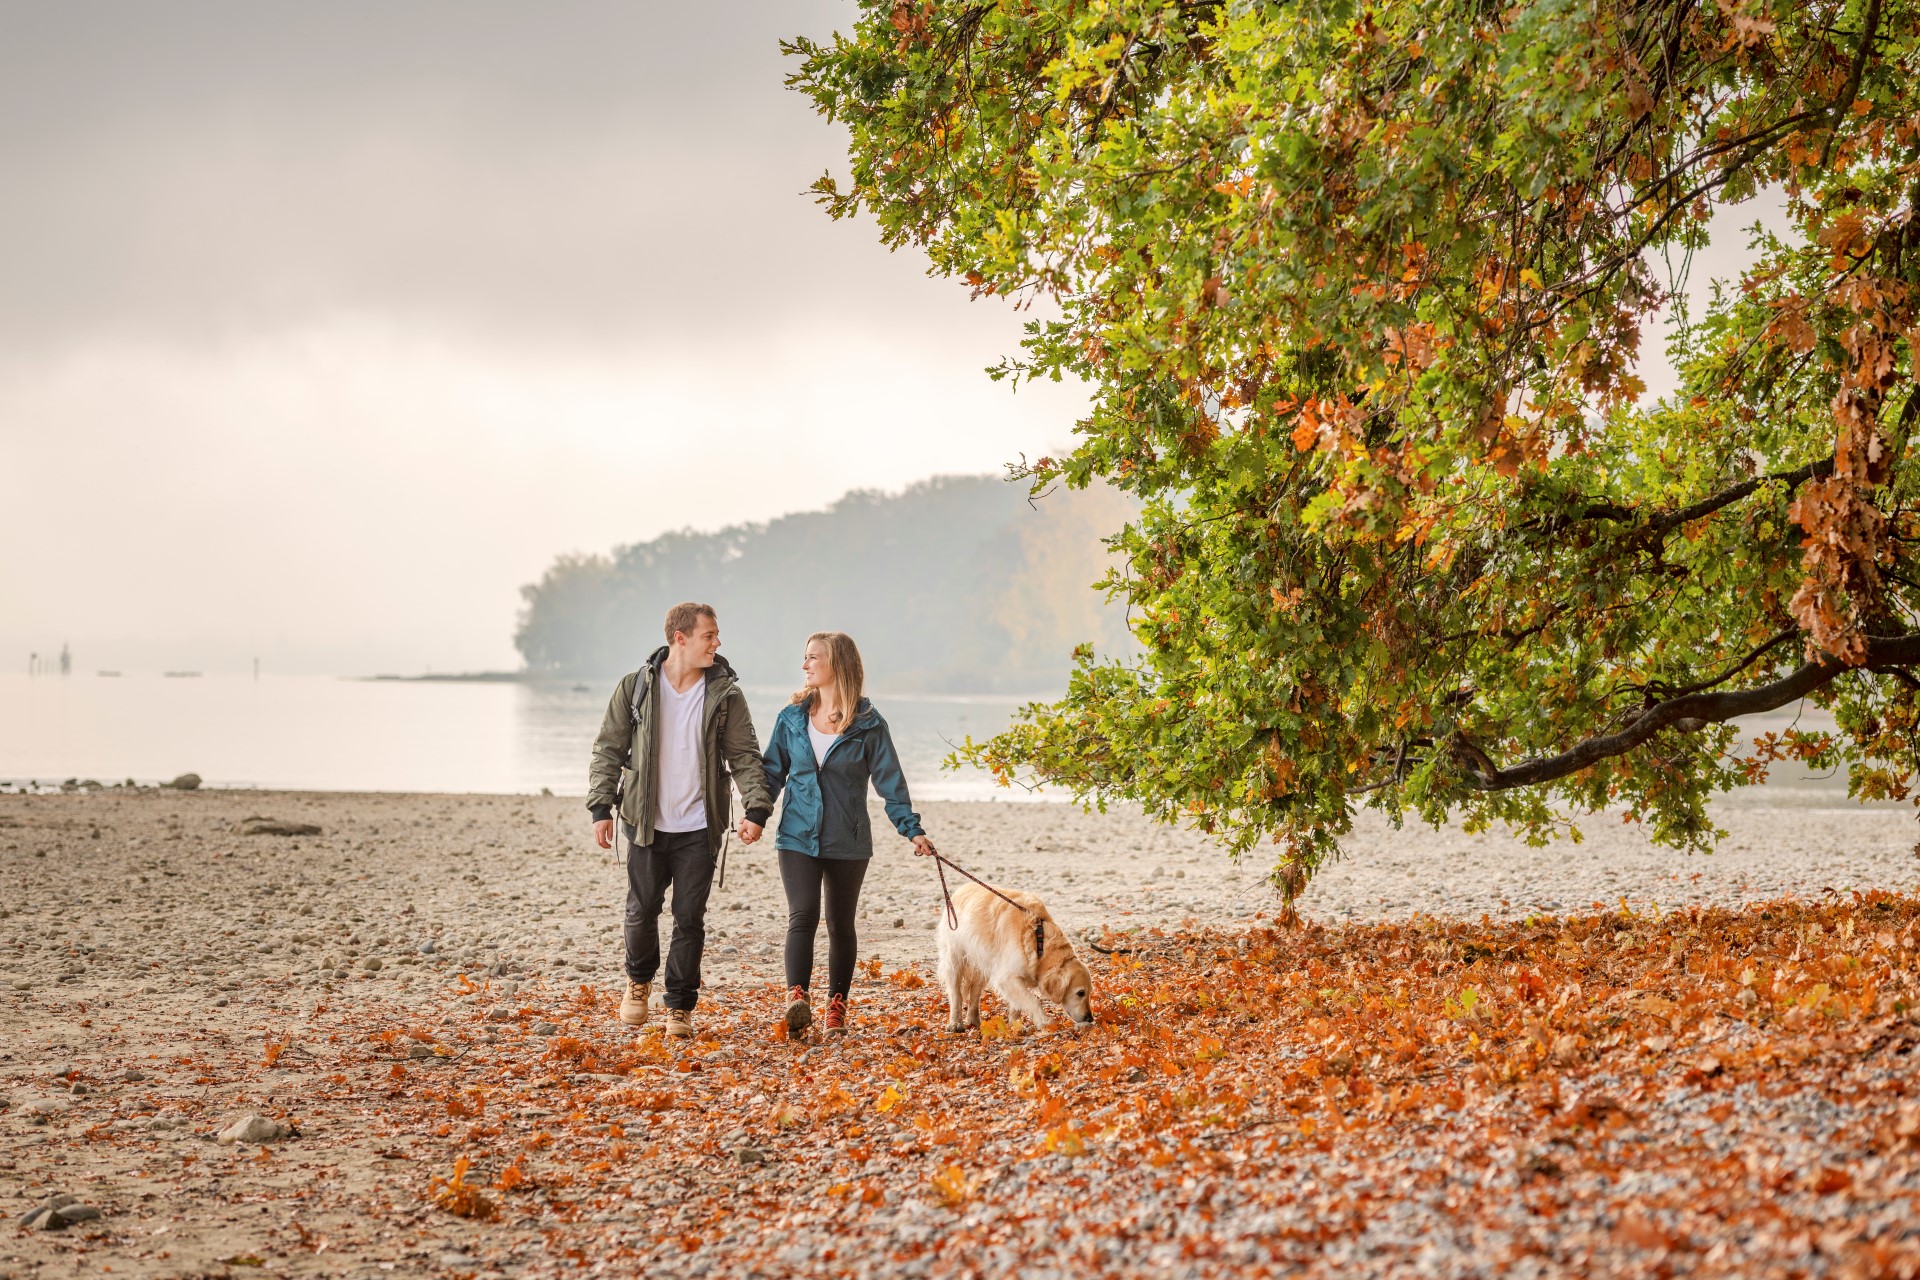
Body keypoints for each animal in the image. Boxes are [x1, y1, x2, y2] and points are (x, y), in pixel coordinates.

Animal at [933, 882, 1090, 1028]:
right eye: (1080, 993)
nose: (1090, 1019)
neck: (1038, 940)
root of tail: (960, 889)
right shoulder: (1007, 977)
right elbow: (1033, 1000)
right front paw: (1044, 1023)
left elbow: (1017, 1005)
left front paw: (1016, 1026)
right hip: (955, 959)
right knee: (956, 994)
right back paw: (955, 1023)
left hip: (983, 964)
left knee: (975, 993)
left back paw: (974, 1020)